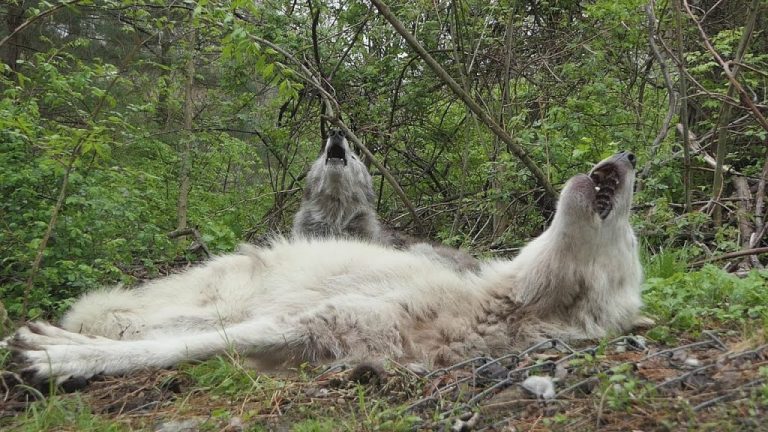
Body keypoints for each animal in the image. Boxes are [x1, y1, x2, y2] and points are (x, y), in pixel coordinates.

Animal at [10, 151, 648, 382]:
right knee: (135, 319)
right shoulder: (302, 318)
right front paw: (57, 353)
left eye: (632, 241)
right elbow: (178, 346)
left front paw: (56, 357)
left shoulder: (313, 333)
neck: (496, 307)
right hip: (220, 294)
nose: (628, 154)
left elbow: (187, 348)